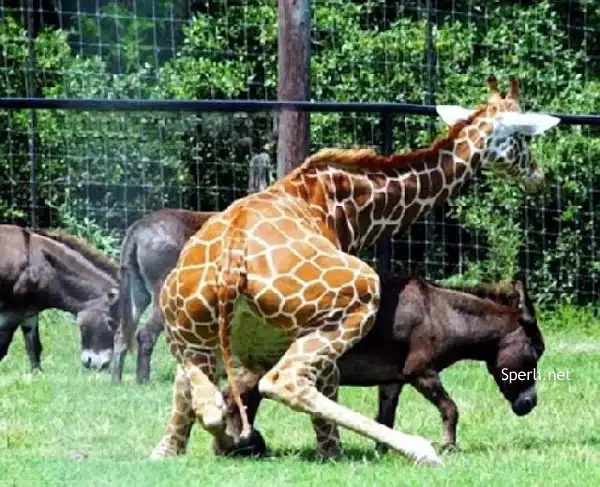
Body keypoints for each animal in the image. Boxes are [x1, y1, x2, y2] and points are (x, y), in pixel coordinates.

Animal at [147, 76, 559, 466]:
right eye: (523, 139)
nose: (539, 177)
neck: (353, 207)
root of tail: (233, 263)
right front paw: (333, 451)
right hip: (356, 301)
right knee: (283, 382)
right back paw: (418, 450)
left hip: (188, 331)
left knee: (206, 400)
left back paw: (205, 445)